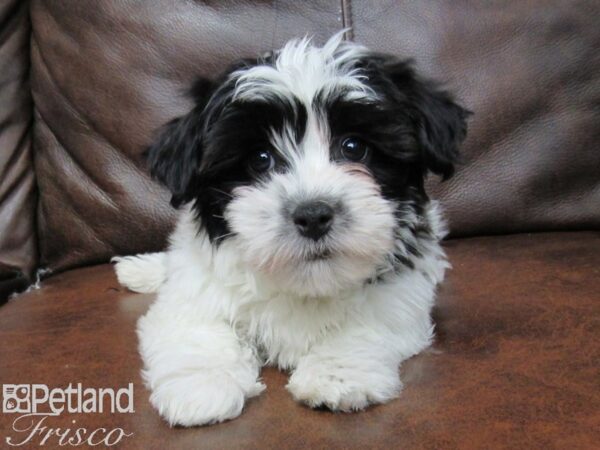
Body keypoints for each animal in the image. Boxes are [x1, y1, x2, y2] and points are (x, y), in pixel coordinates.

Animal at [112, 33, 468, 428]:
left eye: (354, 147)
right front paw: (202, 386)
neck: (305, 281)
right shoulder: (193, 294)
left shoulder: (403, 294)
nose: (313, 215)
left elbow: (371, 323)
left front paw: (336, 375)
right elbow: (198, 329)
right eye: (260, 159)